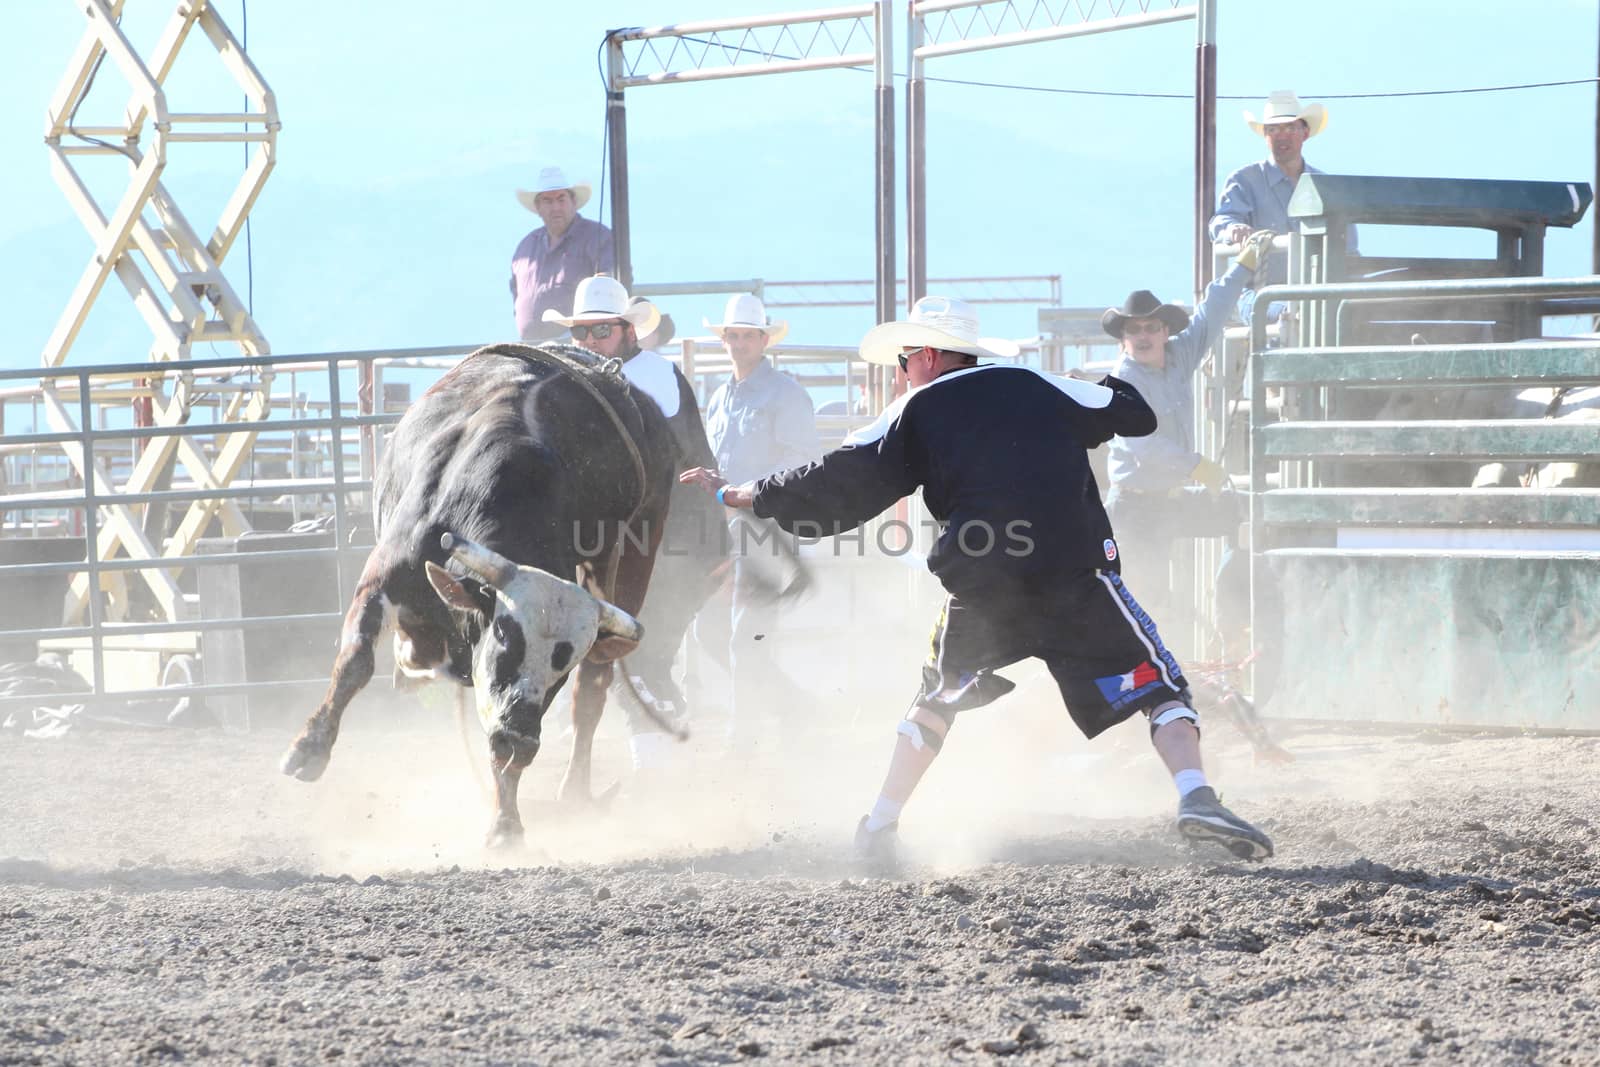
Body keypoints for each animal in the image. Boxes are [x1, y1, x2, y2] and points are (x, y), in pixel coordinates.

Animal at [278, 342, 672, 844]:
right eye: (504, 637)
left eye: (562, 664)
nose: (520, 735)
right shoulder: (384, 574)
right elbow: (354, 661)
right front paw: (307, 750)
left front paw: (506, 823)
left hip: (641, 542)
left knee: (593, 689)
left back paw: (574, 790)